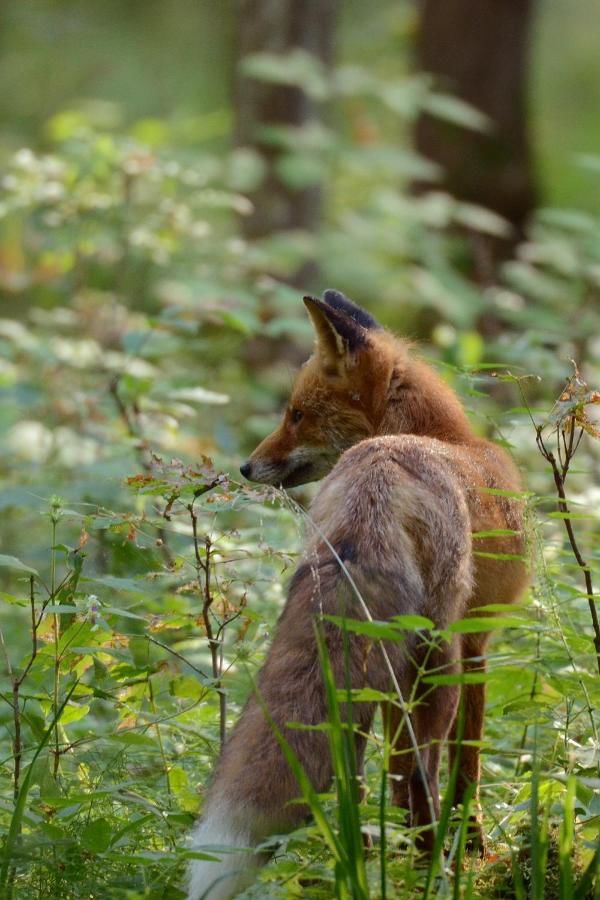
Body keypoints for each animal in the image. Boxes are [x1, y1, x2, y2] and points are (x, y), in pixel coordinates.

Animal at [185, 292, 528, 896]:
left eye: (297, 414)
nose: (245, 467)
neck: (451, 440)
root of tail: (379, 470)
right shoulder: (476, 643)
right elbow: (468, 765)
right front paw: (476, 849)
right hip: (434, 654)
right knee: (418, 770)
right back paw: (432, 869)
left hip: (372, 663)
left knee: (364, 772)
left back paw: (364, 859)